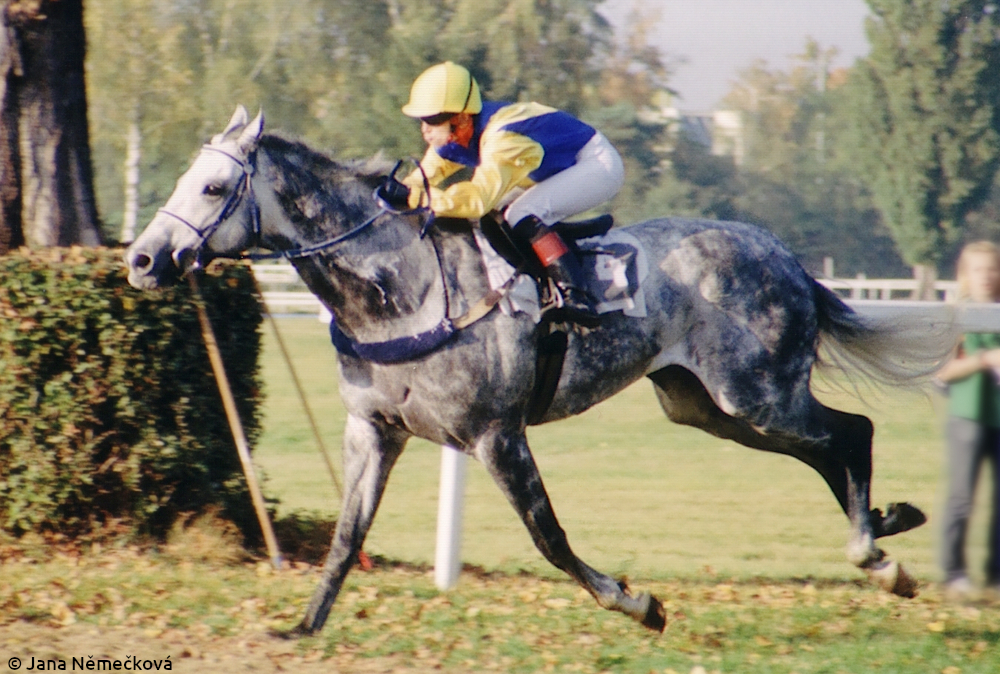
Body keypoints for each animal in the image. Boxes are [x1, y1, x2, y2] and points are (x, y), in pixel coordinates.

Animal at [125, 105, 946, 635]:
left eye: (210, 187)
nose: (141, 259)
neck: (399, 288)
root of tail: (784, 255)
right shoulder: (374, 430)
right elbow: (345, 534)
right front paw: (303, 625)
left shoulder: (496, 434)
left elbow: (548, 536)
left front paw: (637, 605)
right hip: (706, 406)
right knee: (828, 447)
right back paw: (883, 532)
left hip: (756, 391)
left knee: (852, 432)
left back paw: (878, 554)